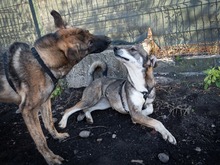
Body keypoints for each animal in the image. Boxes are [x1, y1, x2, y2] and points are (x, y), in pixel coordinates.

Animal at [0, 10, 110, 164]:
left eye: (89, 33)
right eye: (90, 42)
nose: (109, 39)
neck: (42, 61)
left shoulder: (45, 101)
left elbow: (49, 122)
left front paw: (57, 136)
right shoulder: (28, 111)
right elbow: (40, 139)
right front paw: (50, 158)